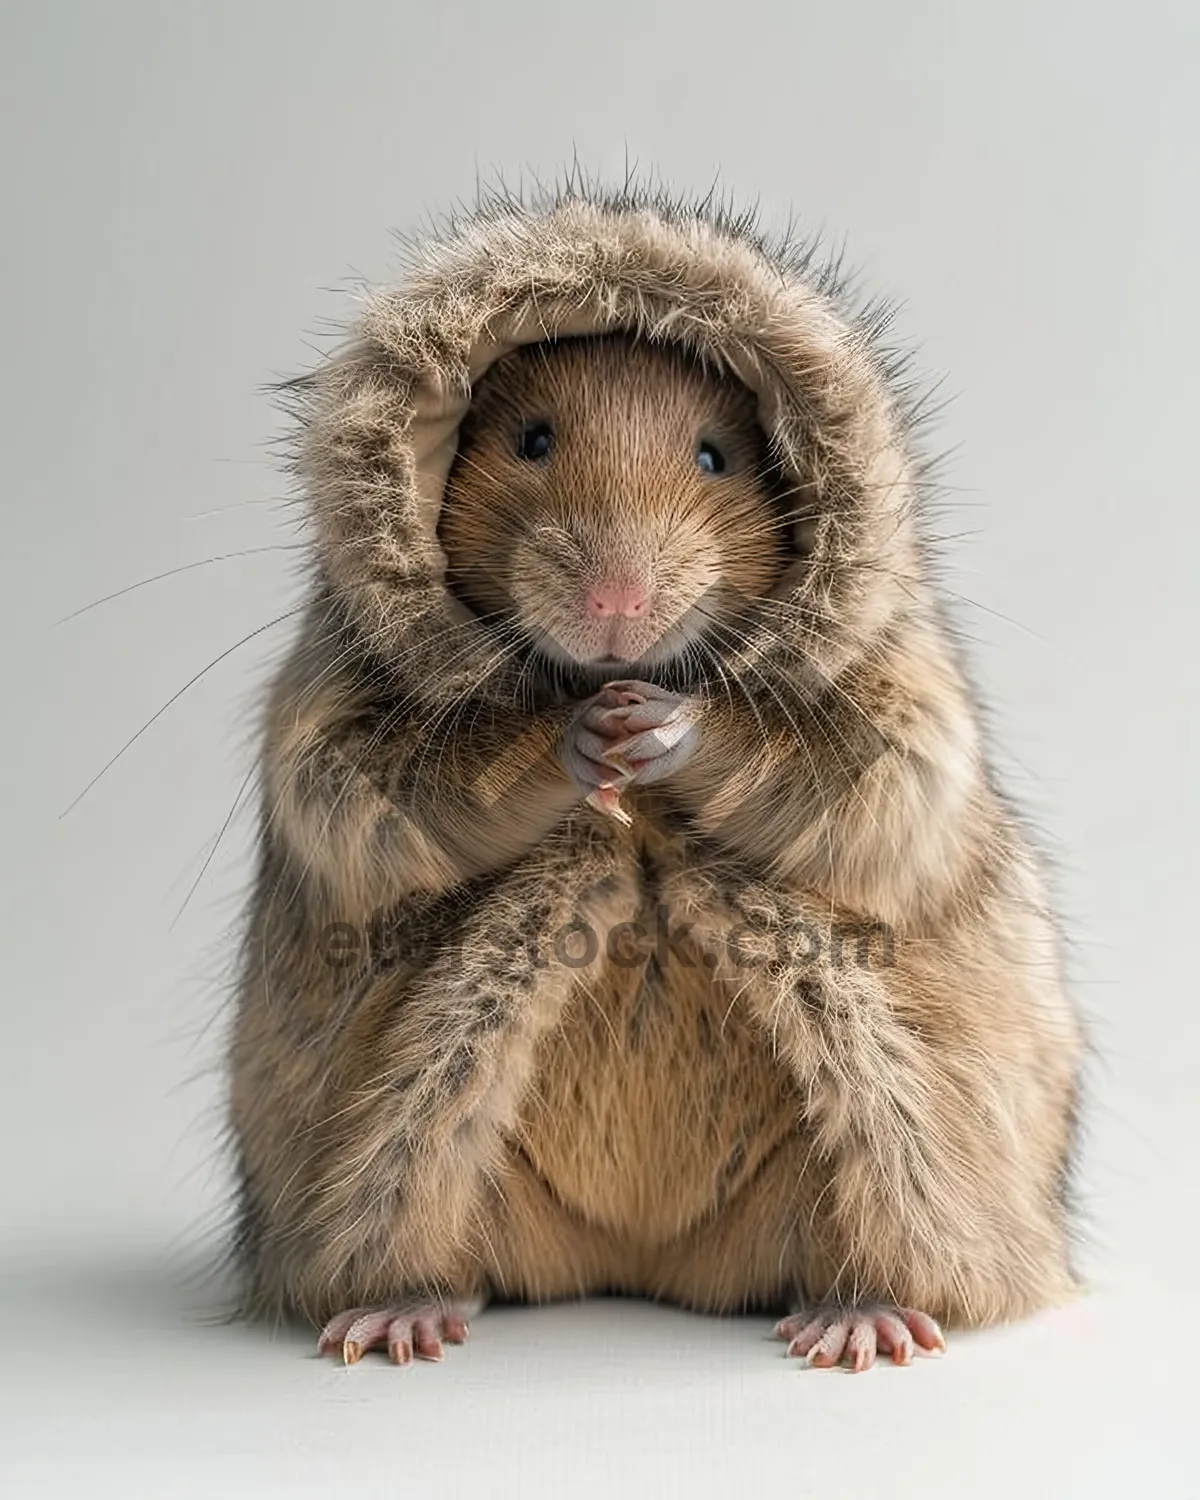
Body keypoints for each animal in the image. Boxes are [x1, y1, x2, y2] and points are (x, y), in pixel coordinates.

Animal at [228, 187, 1086, 1374]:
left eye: (716, 456)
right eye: (533, 440)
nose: (617, 605)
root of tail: (642, 1264)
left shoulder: (906, 696)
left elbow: (882, 787)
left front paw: (674, 729)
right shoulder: (331, 702)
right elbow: (362, 793)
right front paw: (574, 744)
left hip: (876, 1171)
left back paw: (858, 1313)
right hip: (429, 1168)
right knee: (449, 1244)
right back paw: (402, 1306)